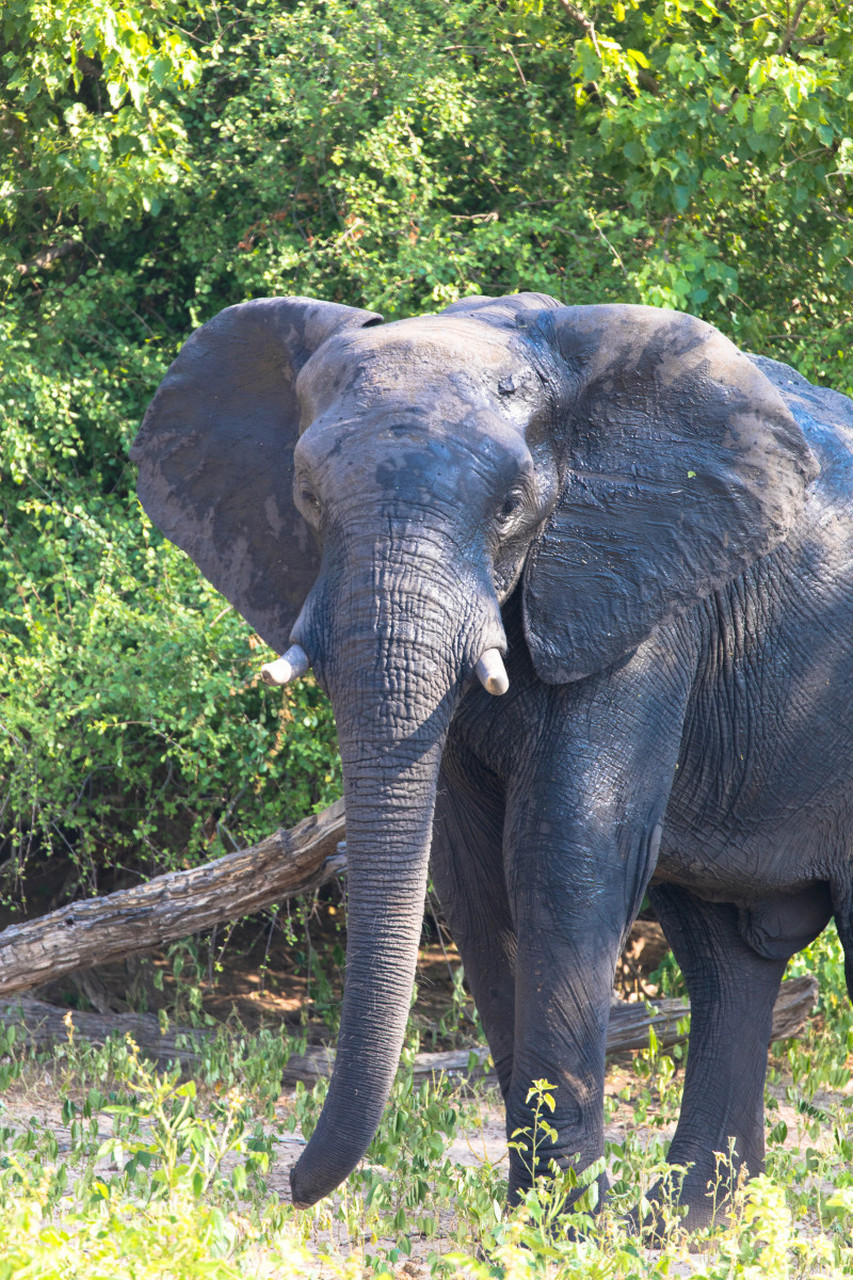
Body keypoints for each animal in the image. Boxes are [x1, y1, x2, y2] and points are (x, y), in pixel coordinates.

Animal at [129, 293, 850, 1228]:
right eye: (306, 497)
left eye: (510, 505)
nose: (290, 1187)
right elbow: (471, 872)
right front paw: (543, 1219)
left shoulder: (639, 593)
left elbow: (564, 849)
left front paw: (565, 1228)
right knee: (724, 957)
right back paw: (678, 1224)